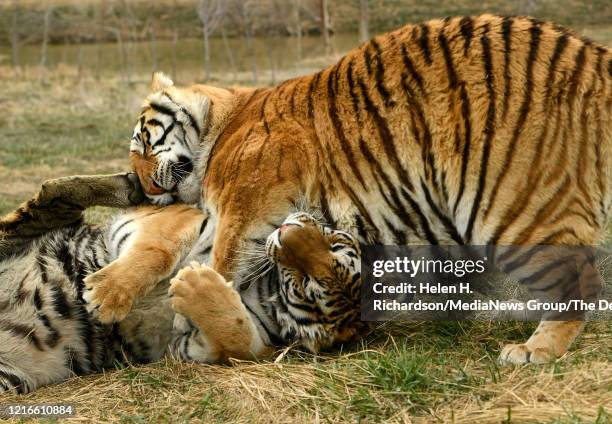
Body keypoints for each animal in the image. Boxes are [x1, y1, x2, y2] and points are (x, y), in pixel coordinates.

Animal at [0, 174, 364, 392]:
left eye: (307, 284)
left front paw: (198, 285)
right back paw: (126, 185)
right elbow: (157, 251)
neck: (262, 288)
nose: (288, 231)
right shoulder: (187, 222)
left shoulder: (188, 347)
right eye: (333, 244)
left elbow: (241, 339)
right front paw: (107, 293)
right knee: (42, 204)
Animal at [119, 13, 612, 364]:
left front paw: (189, 305)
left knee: (581, 282)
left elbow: (222, 260)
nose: (142, 188)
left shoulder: (246, 204)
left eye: (142, 142)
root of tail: (593, 56)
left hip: (513, 205)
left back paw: (535, 351)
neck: (220, 123)